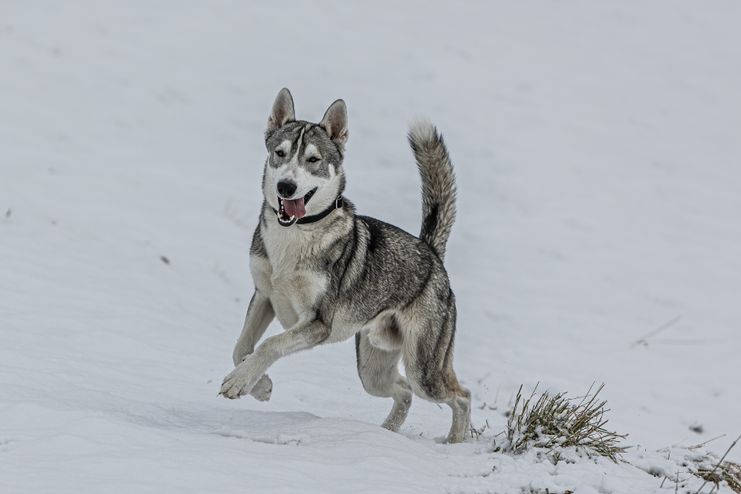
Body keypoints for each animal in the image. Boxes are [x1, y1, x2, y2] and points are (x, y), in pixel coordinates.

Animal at [220, 87, 472, 442]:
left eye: (313, 160)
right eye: (279, 153)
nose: (286, 186)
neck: (296, 236)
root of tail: (431, 251)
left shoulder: (317, 323)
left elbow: (271, 343)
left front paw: (242, 381)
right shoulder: (265, 296)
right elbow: (241, 347)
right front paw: (258, 385)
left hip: (424, 370)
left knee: (461, 396)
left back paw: (453, 443)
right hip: (372, 368)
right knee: (404, 391)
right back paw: (385, 435)